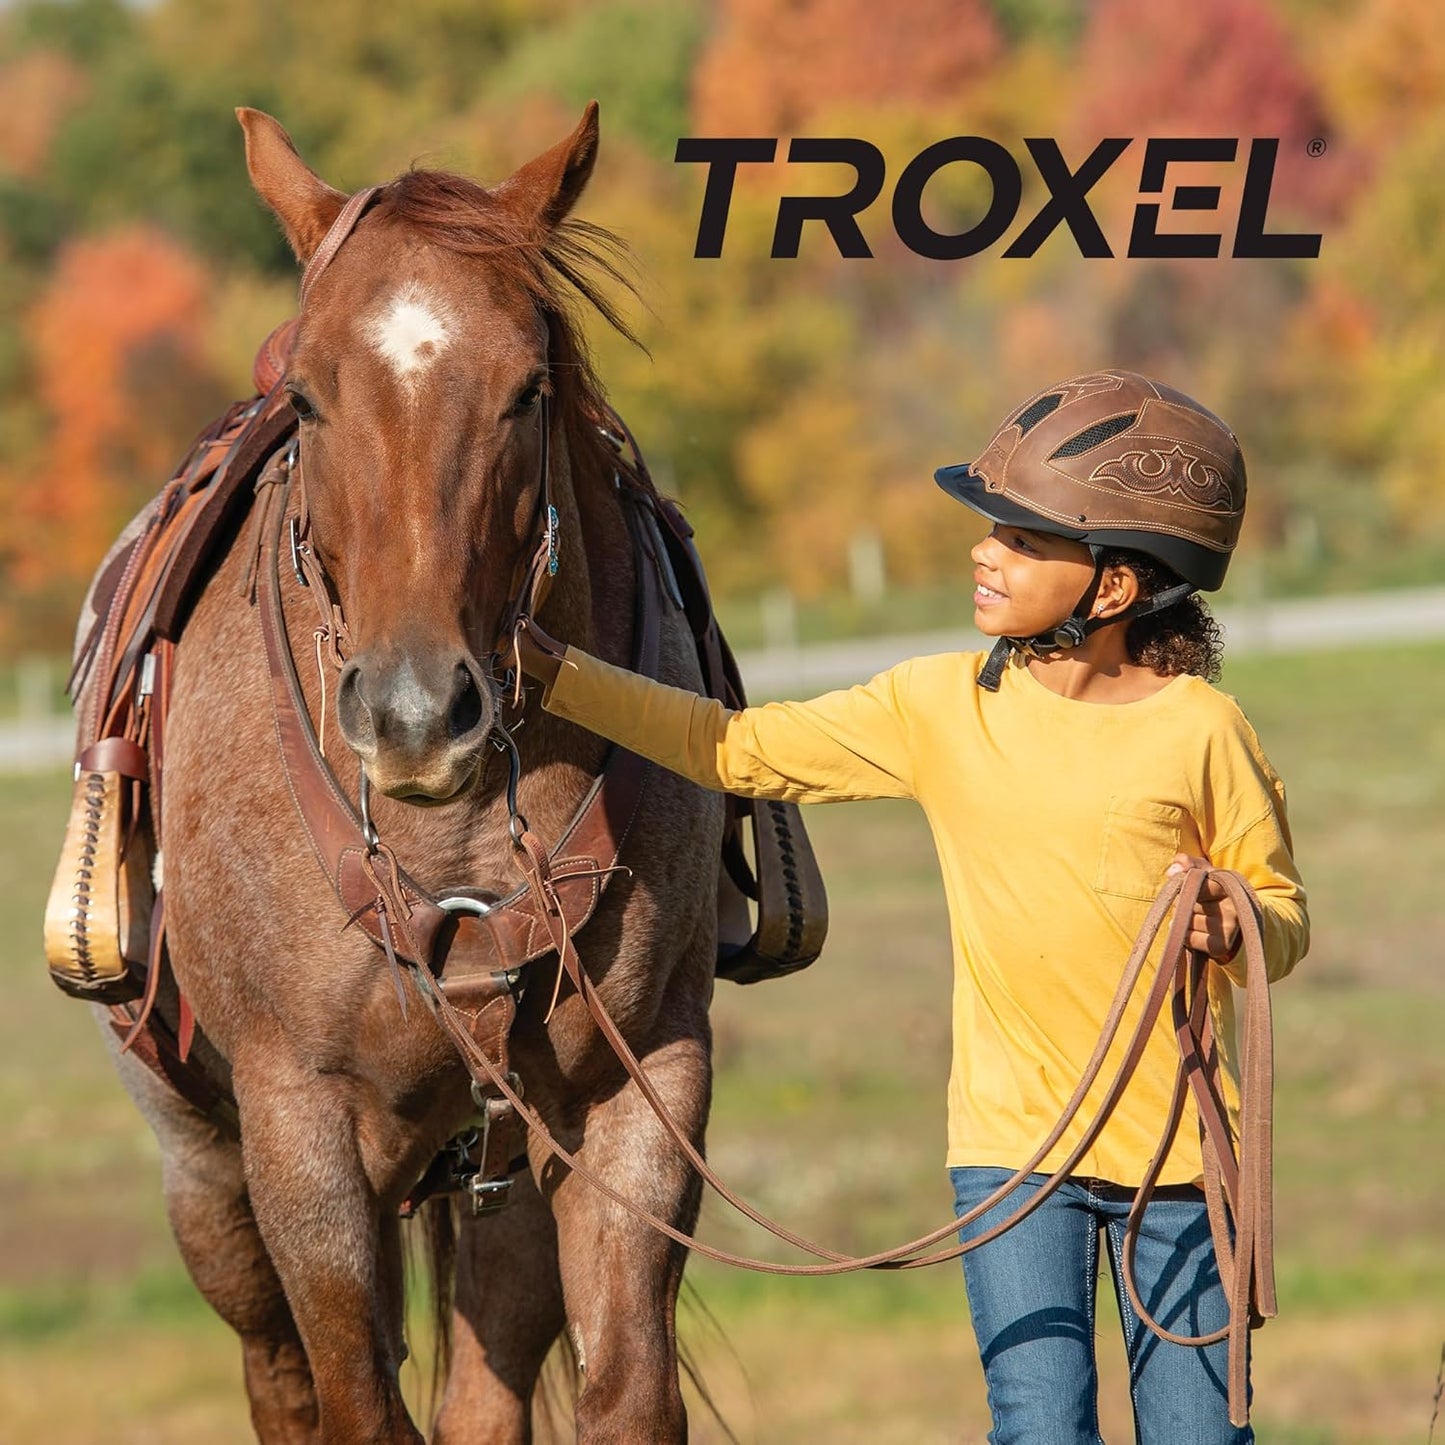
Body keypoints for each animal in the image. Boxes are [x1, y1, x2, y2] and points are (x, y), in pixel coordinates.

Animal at [75, 104, 726, 1443]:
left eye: (529, 388)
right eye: (309, 399)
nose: (416, 714)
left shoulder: (641, 1086)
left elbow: (624, 1387)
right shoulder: (301, 1130)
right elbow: (354, 1400)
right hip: (208, 1174)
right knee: (280, 1374)